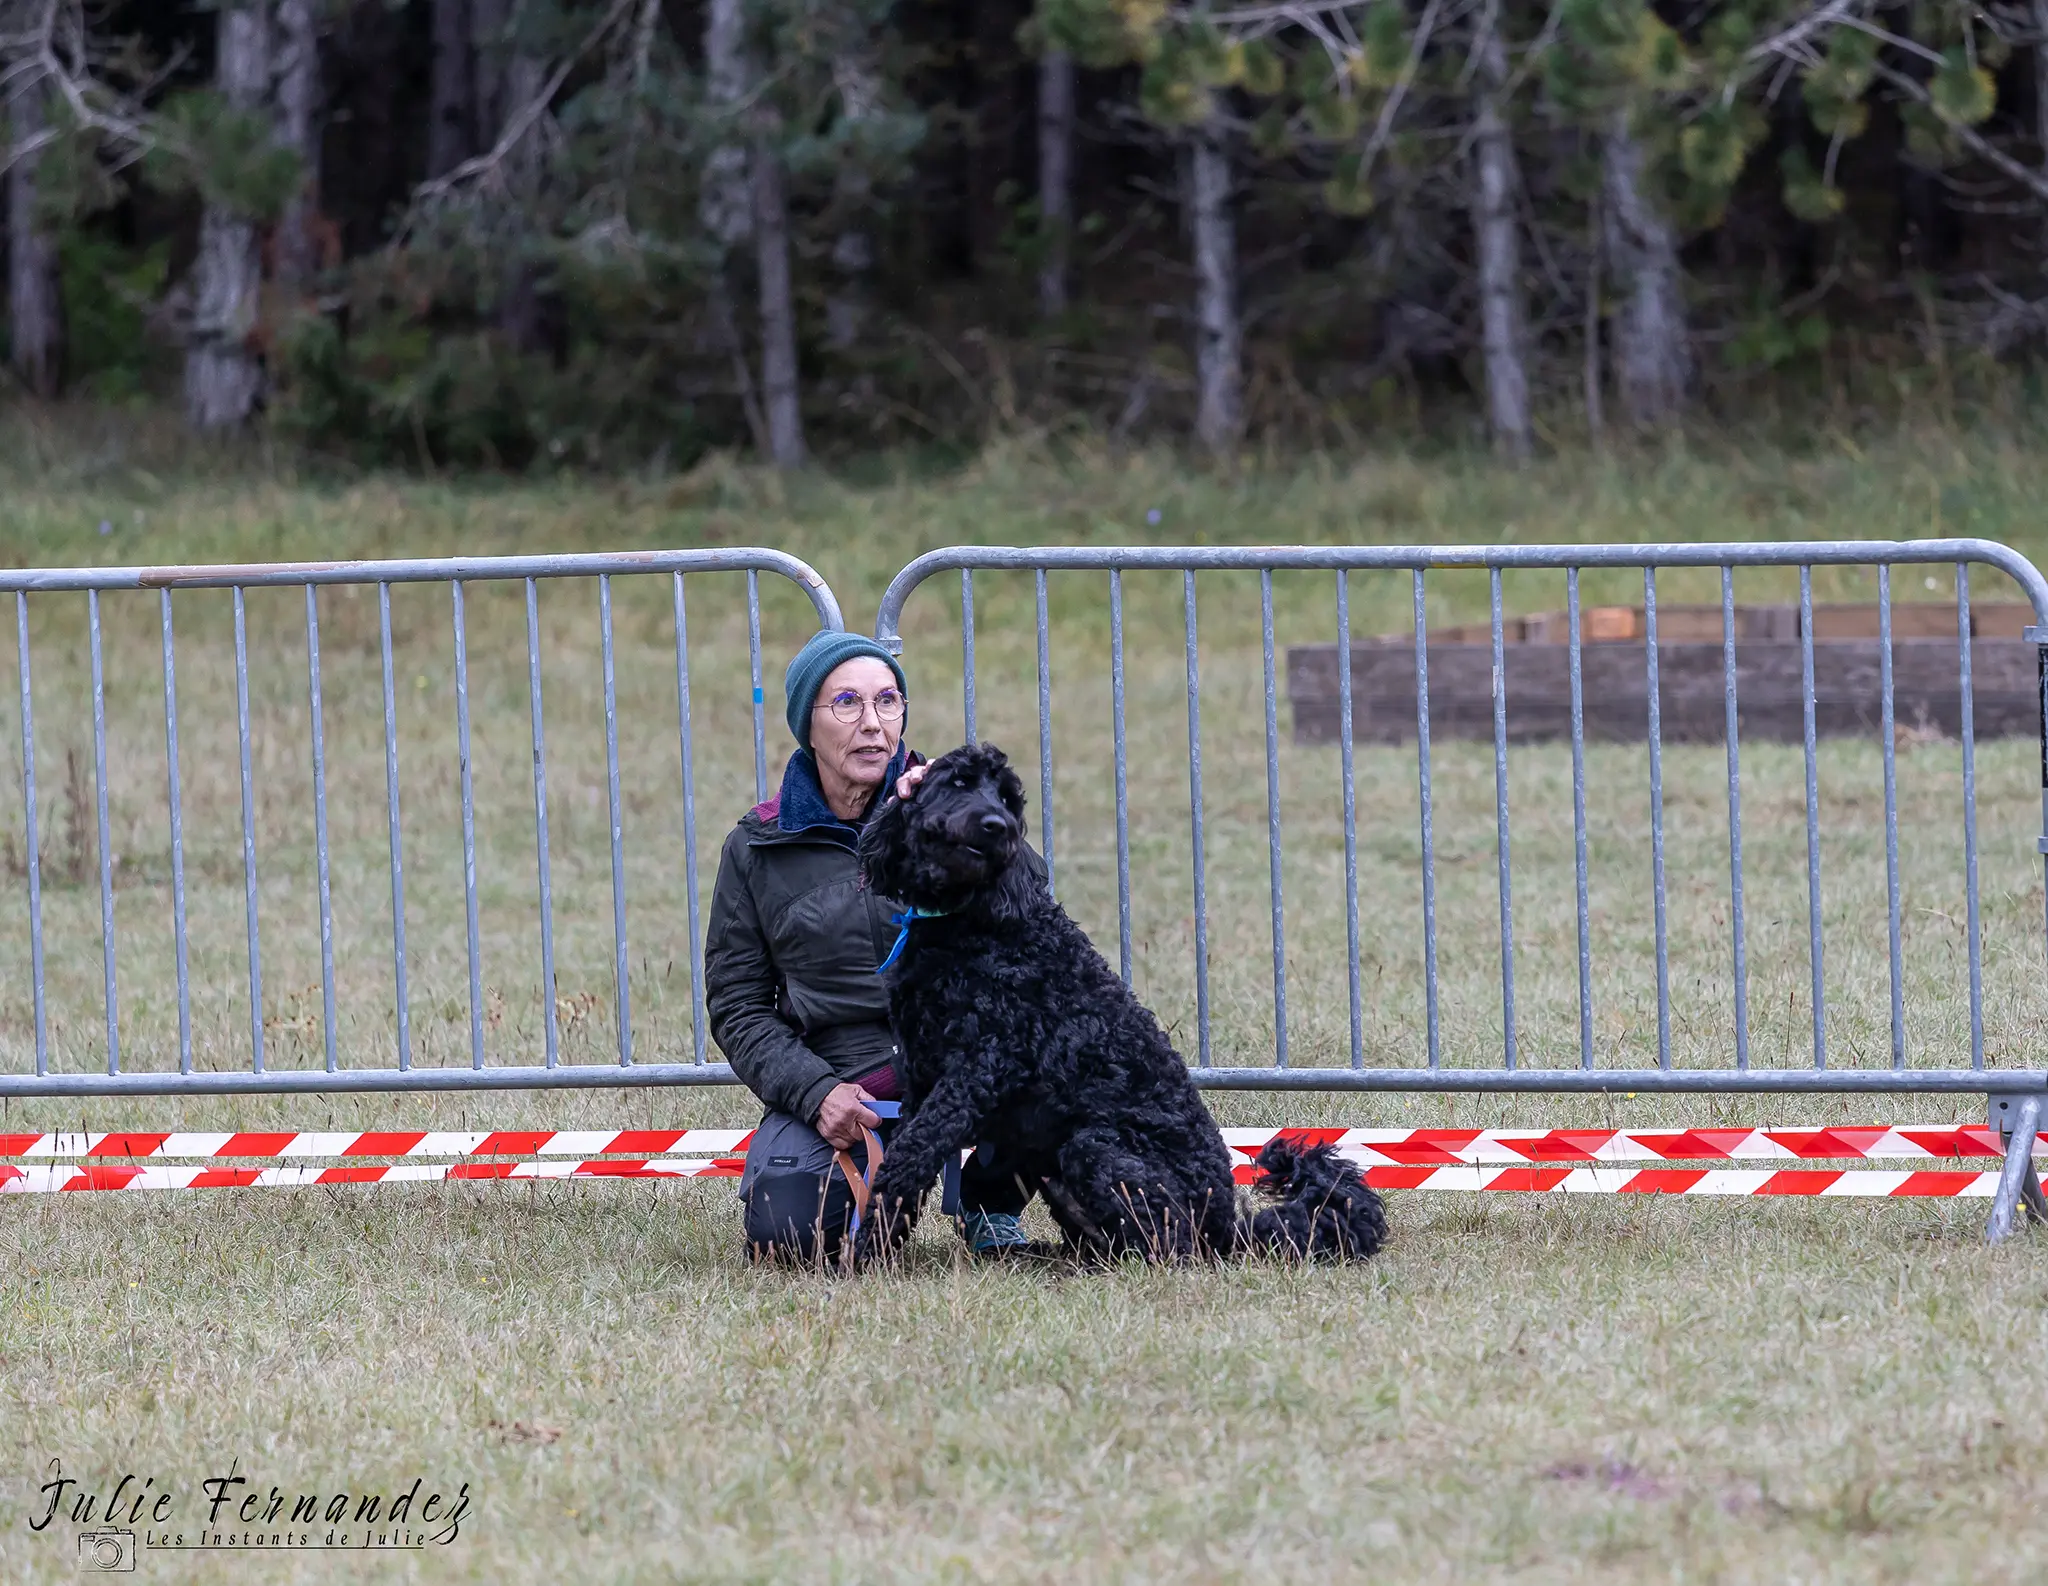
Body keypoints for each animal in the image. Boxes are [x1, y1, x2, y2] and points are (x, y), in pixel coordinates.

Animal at [839, 741, 1384, 1270]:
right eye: (959, 782)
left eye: (1009, 799)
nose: (999, 827)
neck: (966, 925)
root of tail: (1230, 1228)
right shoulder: (922, 1076)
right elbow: (903, 1155)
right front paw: (878, 1246)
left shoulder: (977, 1069)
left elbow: (908, 1158)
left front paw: (865, 1255)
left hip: (1096, 1148)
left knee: (1170, 1244)